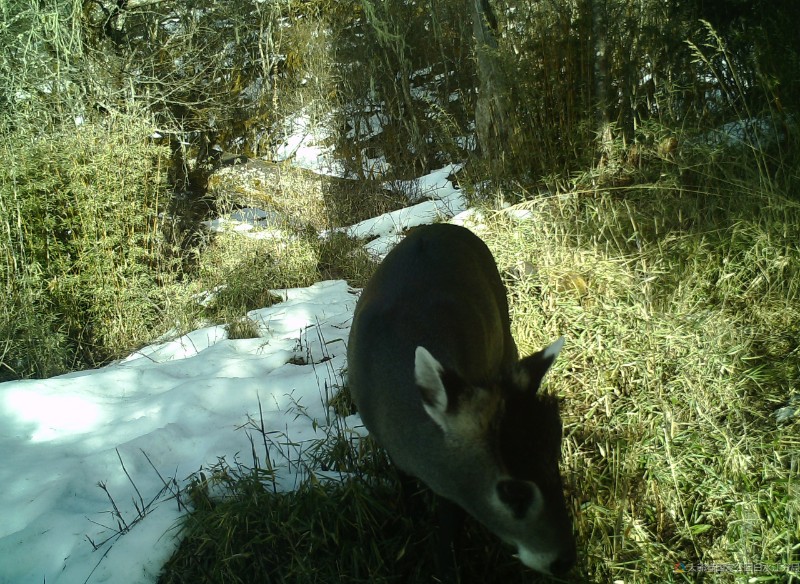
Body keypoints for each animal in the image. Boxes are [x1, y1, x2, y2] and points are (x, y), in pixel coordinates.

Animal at [348, 222, 576, 576]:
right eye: (513, 491)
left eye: (555, 460)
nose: (565, 560)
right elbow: (406, 485)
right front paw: (414, 520)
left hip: (505, 333)